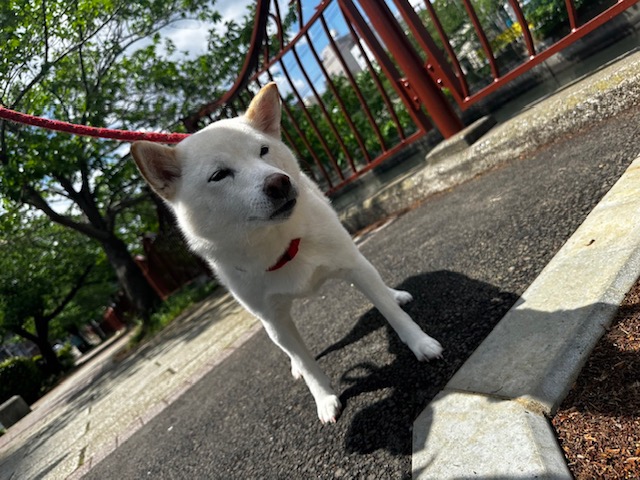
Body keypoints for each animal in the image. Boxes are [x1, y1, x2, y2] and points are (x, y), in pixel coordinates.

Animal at [130, 83, 440, 424]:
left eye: (263, 150)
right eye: (219, 175)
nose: (278, 182)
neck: (281, 244)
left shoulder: (352, 265)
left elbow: (393, 315)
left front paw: (420, 343)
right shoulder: (273, 319)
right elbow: (305, 362)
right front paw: (324, 398)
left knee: (376, 284)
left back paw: (395, 294)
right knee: (293, 350)